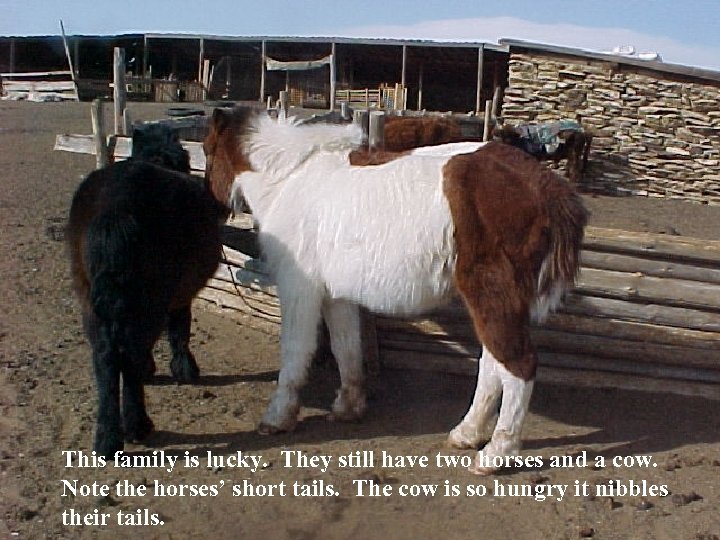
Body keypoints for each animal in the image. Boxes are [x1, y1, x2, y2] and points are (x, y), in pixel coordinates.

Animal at [67, 123, 228, 456]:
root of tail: (116, 209)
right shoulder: (179, 298)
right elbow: (179, 331)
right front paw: (184, 369)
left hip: (92, 305)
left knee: (105, 358)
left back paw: (107, 438)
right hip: (148, 304)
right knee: (130, 354)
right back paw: (137, 426)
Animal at [204, 108, 587, 474]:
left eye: (207, 151)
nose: (212, 210)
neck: (290, 180)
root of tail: (546, 186)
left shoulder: (300, 288)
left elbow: (296, 351)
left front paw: (278, 417)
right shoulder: (336, 295)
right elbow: (346, 348)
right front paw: (349, 406)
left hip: (492, 294)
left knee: (517, 364)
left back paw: (496, 453)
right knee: (494, 362)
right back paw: (467, 433)